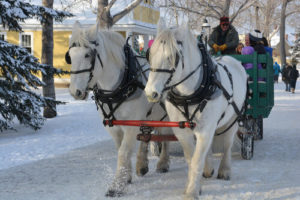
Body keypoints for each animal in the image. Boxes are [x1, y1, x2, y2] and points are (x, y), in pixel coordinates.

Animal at [68, 21, 171, 197]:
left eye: (88, 55)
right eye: (70, 56)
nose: (76, 91)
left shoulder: (131, 124)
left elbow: (124, 151)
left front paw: (117, 185)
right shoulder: (114, 126)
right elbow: (121, 149)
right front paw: (126, 177)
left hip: (166, 115)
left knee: (165, 136)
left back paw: (163, 163)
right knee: (145, 136)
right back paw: (141, 165)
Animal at [144, 19, 247, 199]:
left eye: (174, 56)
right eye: (150, 54)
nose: (151, 92)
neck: (189, 94)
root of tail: (232, 59)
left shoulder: (205, 129)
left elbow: (197, 159)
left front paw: (192, 191)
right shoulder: (182, 131)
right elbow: (191, 158)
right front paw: (194, 185)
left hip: (233, 119)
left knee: (227, 144)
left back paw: (224, 170)